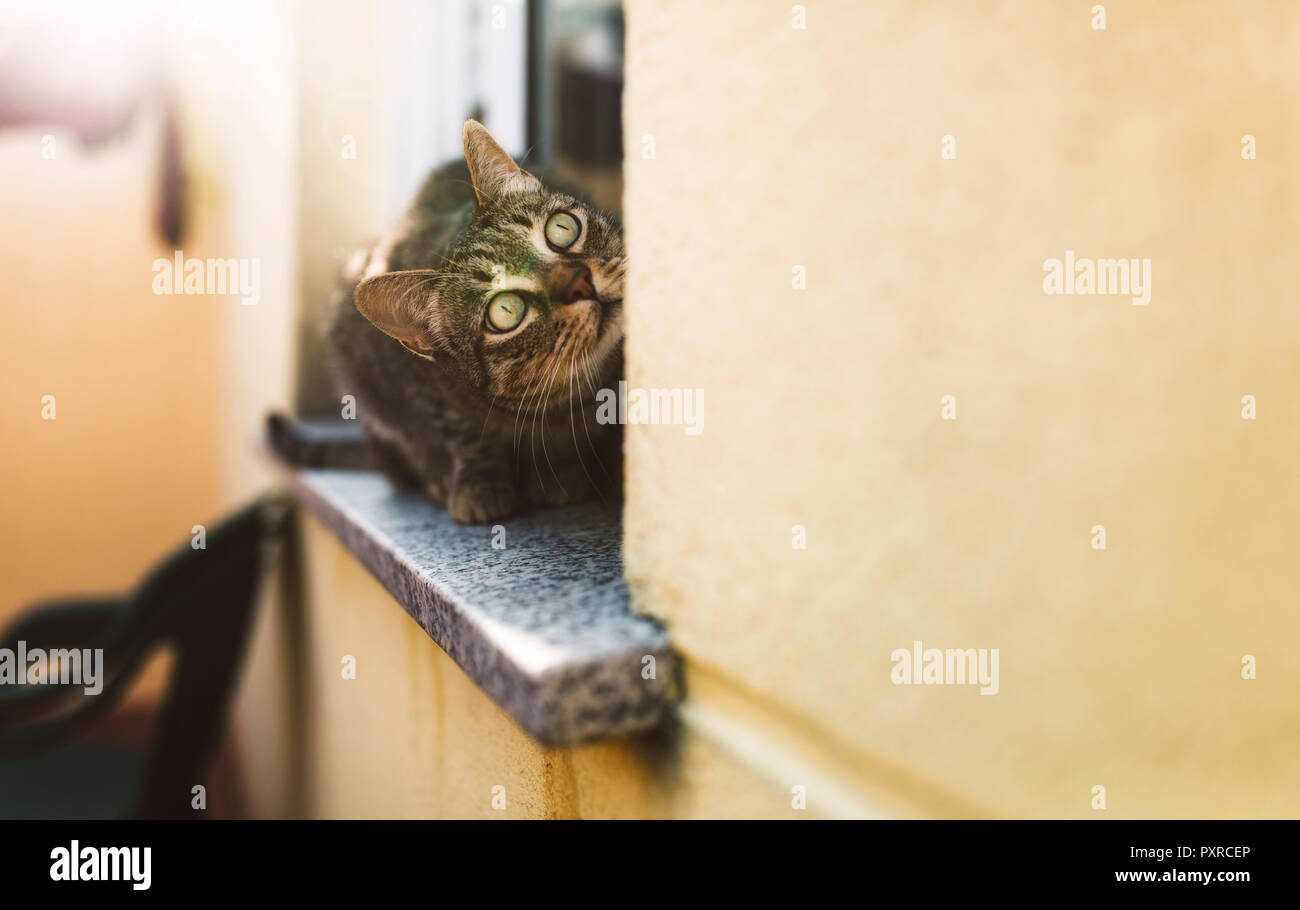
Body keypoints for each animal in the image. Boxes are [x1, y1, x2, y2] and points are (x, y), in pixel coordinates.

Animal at [327, 116, 626, 522]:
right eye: (505, 311)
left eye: (562, 229)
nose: (580, 282)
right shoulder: (428, 386)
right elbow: (465, 432)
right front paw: (479, 483)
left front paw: (561, 470)